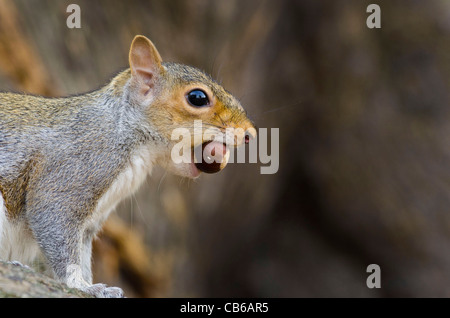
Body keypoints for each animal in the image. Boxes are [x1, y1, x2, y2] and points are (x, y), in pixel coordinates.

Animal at [0, 35, 255, 298]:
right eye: (197, 97)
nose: (250, 134)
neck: (128, 133)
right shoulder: (73, 168)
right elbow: (54, 221)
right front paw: (81, 285)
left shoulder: (91, 223)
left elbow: (83, 253)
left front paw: (94, 284)